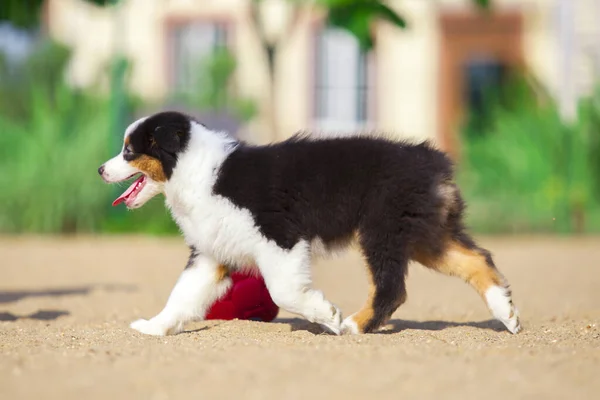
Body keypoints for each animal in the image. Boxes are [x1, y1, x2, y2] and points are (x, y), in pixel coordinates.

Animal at [98, 111, 520, 336]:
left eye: (129, 151)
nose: (101, 169)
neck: (196, 170)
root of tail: (432, 160)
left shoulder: (280, 237)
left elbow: (283, 291)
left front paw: (326, 315)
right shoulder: (210, 253)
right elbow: (182, 295)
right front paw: (154, 327)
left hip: (382, 229)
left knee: (392, 288)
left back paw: (354, 325)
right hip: (422, 233)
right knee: (477, 259)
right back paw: (508, 315)